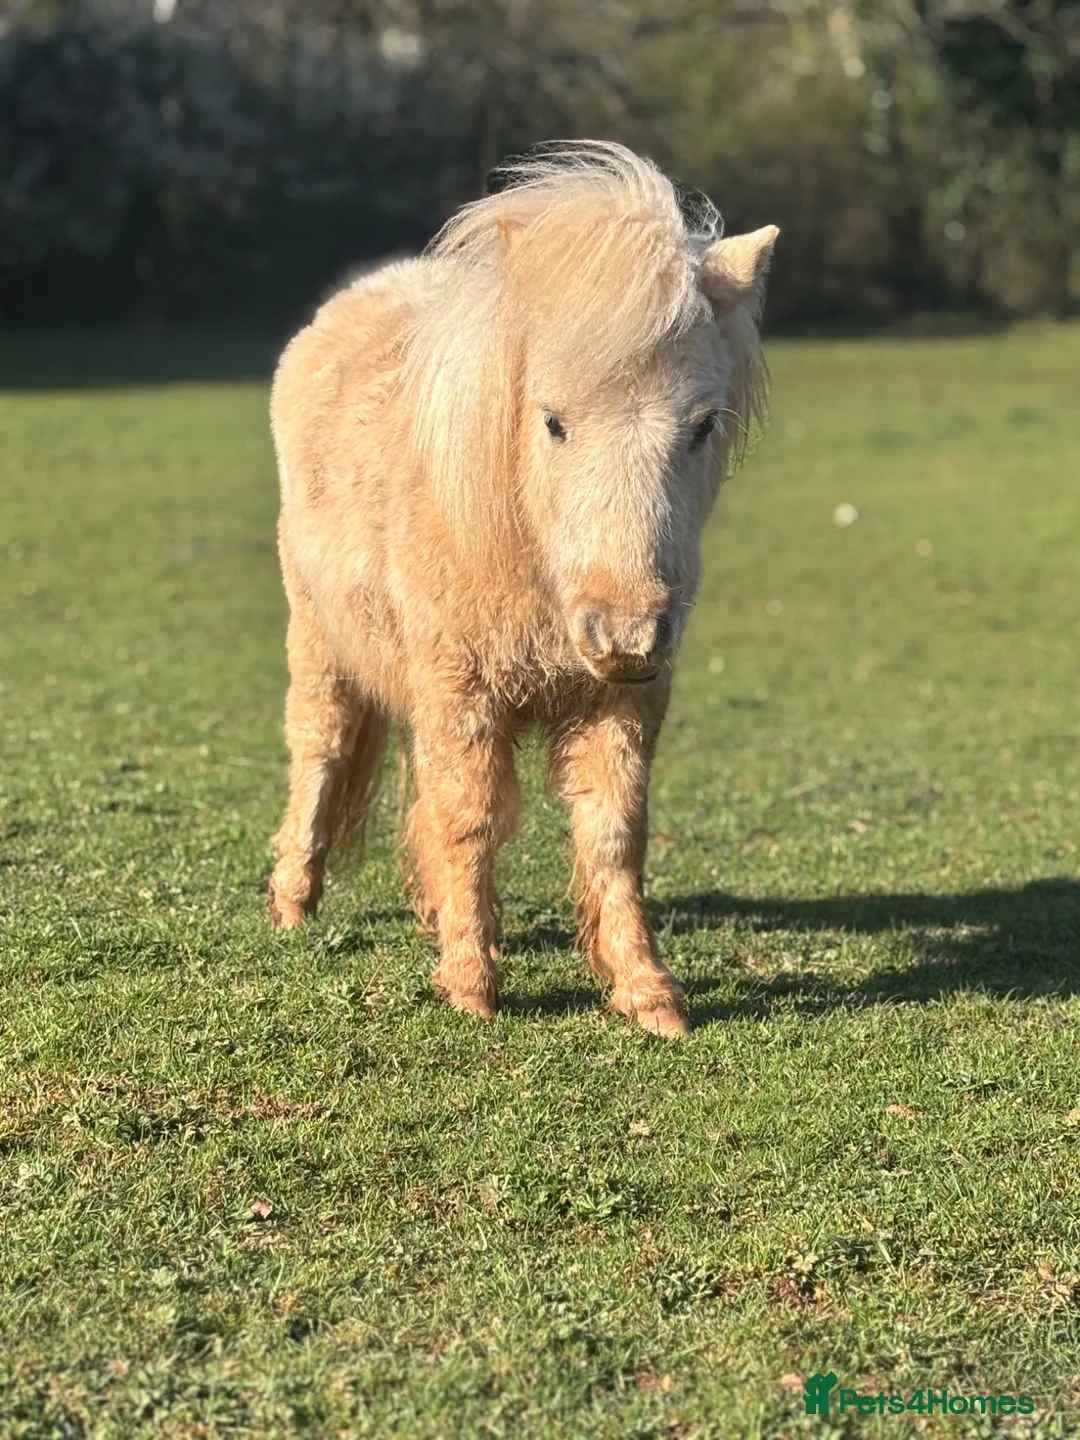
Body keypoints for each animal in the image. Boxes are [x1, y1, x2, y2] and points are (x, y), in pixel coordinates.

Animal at [267, 141, 778, 1038]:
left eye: (703, 425)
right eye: (553, 421)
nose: (626, 632)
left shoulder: (622, 699)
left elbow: (613, 830)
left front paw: (647, 989)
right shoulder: (460, 684)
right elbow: (470, 819)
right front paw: (472, 984)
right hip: (321, 641)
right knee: (320, 751)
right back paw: (293, 901)